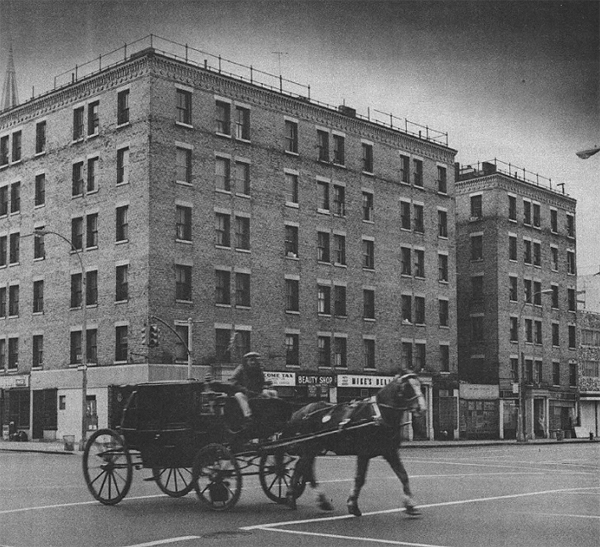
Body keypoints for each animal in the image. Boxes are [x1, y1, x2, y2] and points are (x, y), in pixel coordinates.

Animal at [282, 372, 426, 520]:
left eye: (420, 386)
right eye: (407, 387)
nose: (422, 408)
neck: (378, 415)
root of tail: (300, 412)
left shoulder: (390, 451)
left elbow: (403, 475)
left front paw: (410, 507)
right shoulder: (364, 452)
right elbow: (359, 479)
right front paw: (353, 505)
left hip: (313, 448)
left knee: (306, 469)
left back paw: (321, 502)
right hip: (310, 447)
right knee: (301, 468)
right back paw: (291, 498)